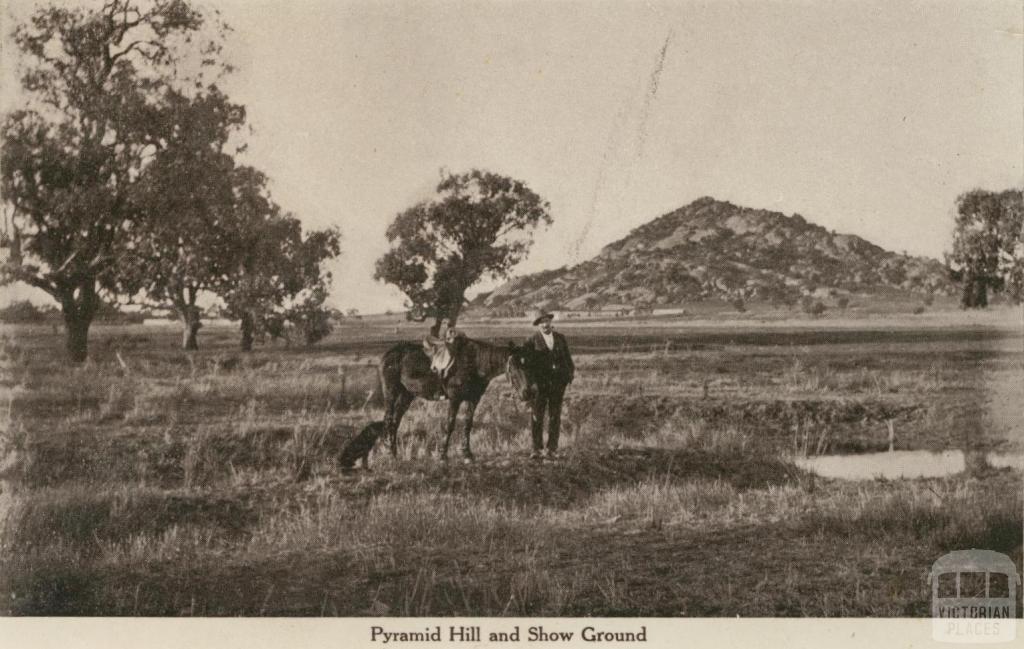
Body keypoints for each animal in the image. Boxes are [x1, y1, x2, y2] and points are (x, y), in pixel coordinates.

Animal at [378, 335, 536, 456]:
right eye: (513, 366)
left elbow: (468, 424)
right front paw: (443, 455)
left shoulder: (473, 399)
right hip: (390, 392)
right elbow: (450, 424)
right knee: (388, 419)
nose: (527, 393)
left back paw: (394, 451)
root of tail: (389, 354)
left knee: (395, 420)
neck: (474, 363)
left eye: (529, 365)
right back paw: (389, 451)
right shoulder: (455, 399)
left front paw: (467, 453)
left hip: (406, 395)